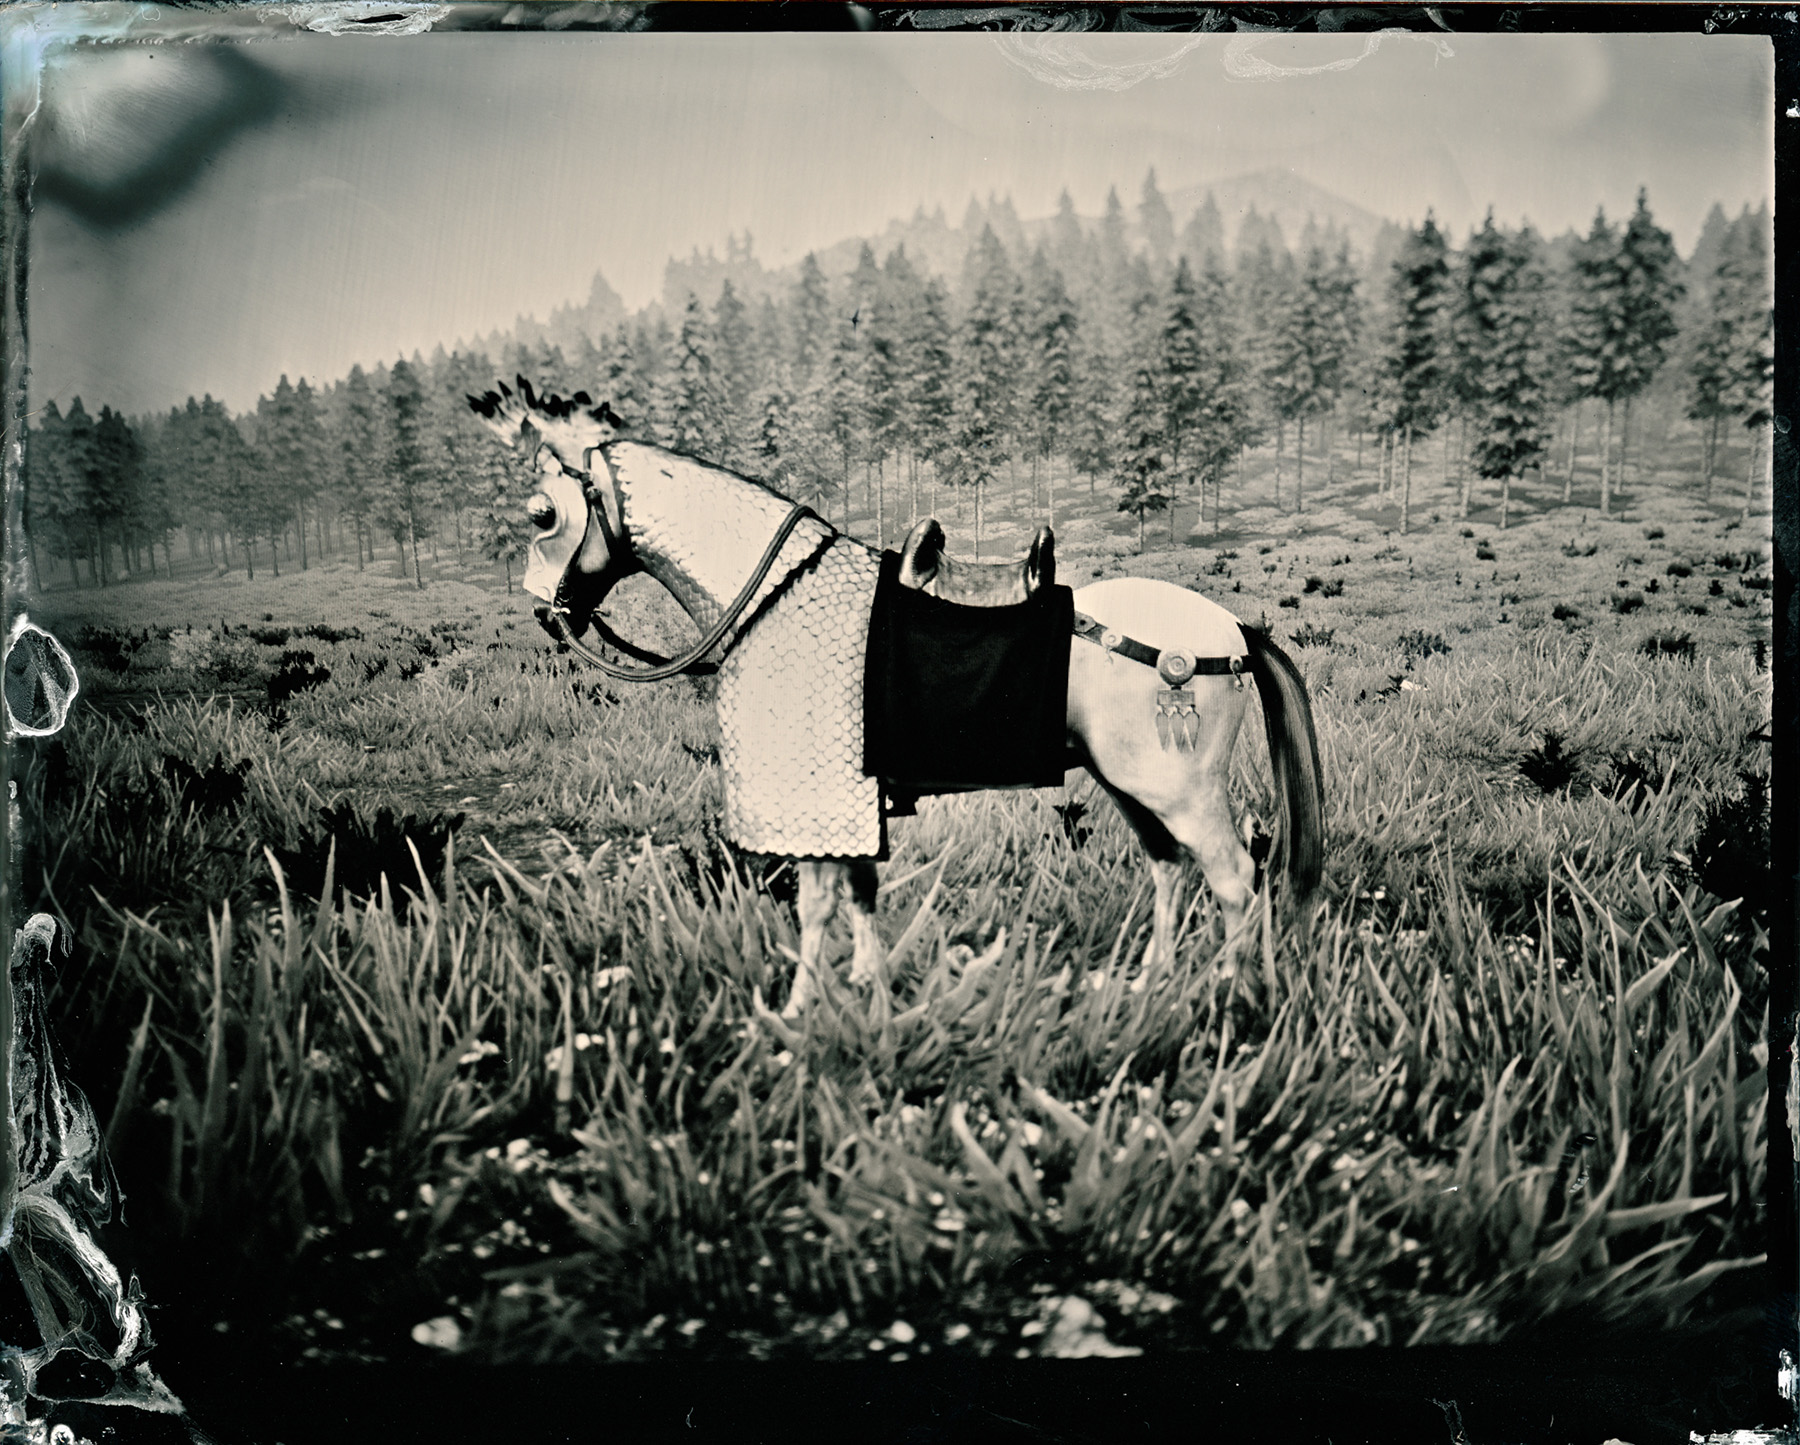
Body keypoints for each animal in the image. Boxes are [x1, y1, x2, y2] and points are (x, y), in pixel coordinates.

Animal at [468, 385, 1324, 1014]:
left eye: (542, 512)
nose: (545, 609)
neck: (777, 596)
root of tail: (1233, 629)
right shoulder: (847, 807)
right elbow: (859, 894)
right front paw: (868, 990)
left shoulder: (817, 803)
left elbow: (817, 906)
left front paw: (799, 1014)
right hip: (1130, 786)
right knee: (1170, 870)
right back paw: (1157, 980)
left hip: (1177, 789)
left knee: (1234, 881)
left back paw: (1234, 993)